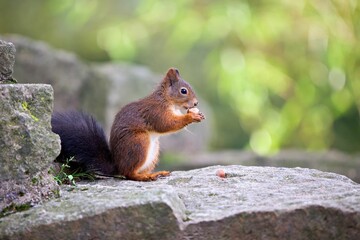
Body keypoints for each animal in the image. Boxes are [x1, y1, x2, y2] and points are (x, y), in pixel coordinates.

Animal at [53, 67, 205, 180]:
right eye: (183, 91)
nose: (196, 103)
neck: (166, 99)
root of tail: (117, 167)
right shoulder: (155, 112)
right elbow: (166, 124)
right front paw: (191, 116)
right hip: (138, 142)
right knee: (129, 174)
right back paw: (145, 177)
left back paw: (154, 173)